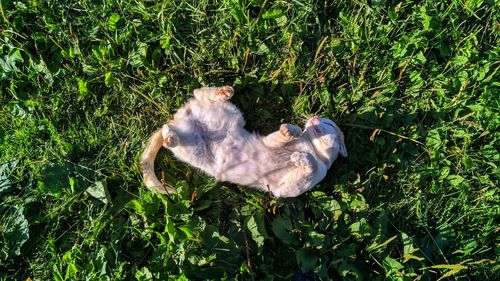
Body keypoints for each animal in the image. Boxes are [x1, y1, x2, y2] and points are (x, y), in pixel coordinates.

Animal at [139, 85, 346, 197]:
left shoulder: (284, 189)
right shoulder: (269, 142)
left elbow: (311, 166)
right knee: (197, 92)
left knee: (171, 131)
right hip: (232, 114)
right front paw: (291, 131)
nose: (315, 117)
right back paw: (222, 92)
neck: (310, 147)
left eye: (328, 123)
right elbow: (286, 137)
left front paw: (299, 157)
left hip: (194, 148)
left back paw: (170, 135)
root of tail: (179, 119)